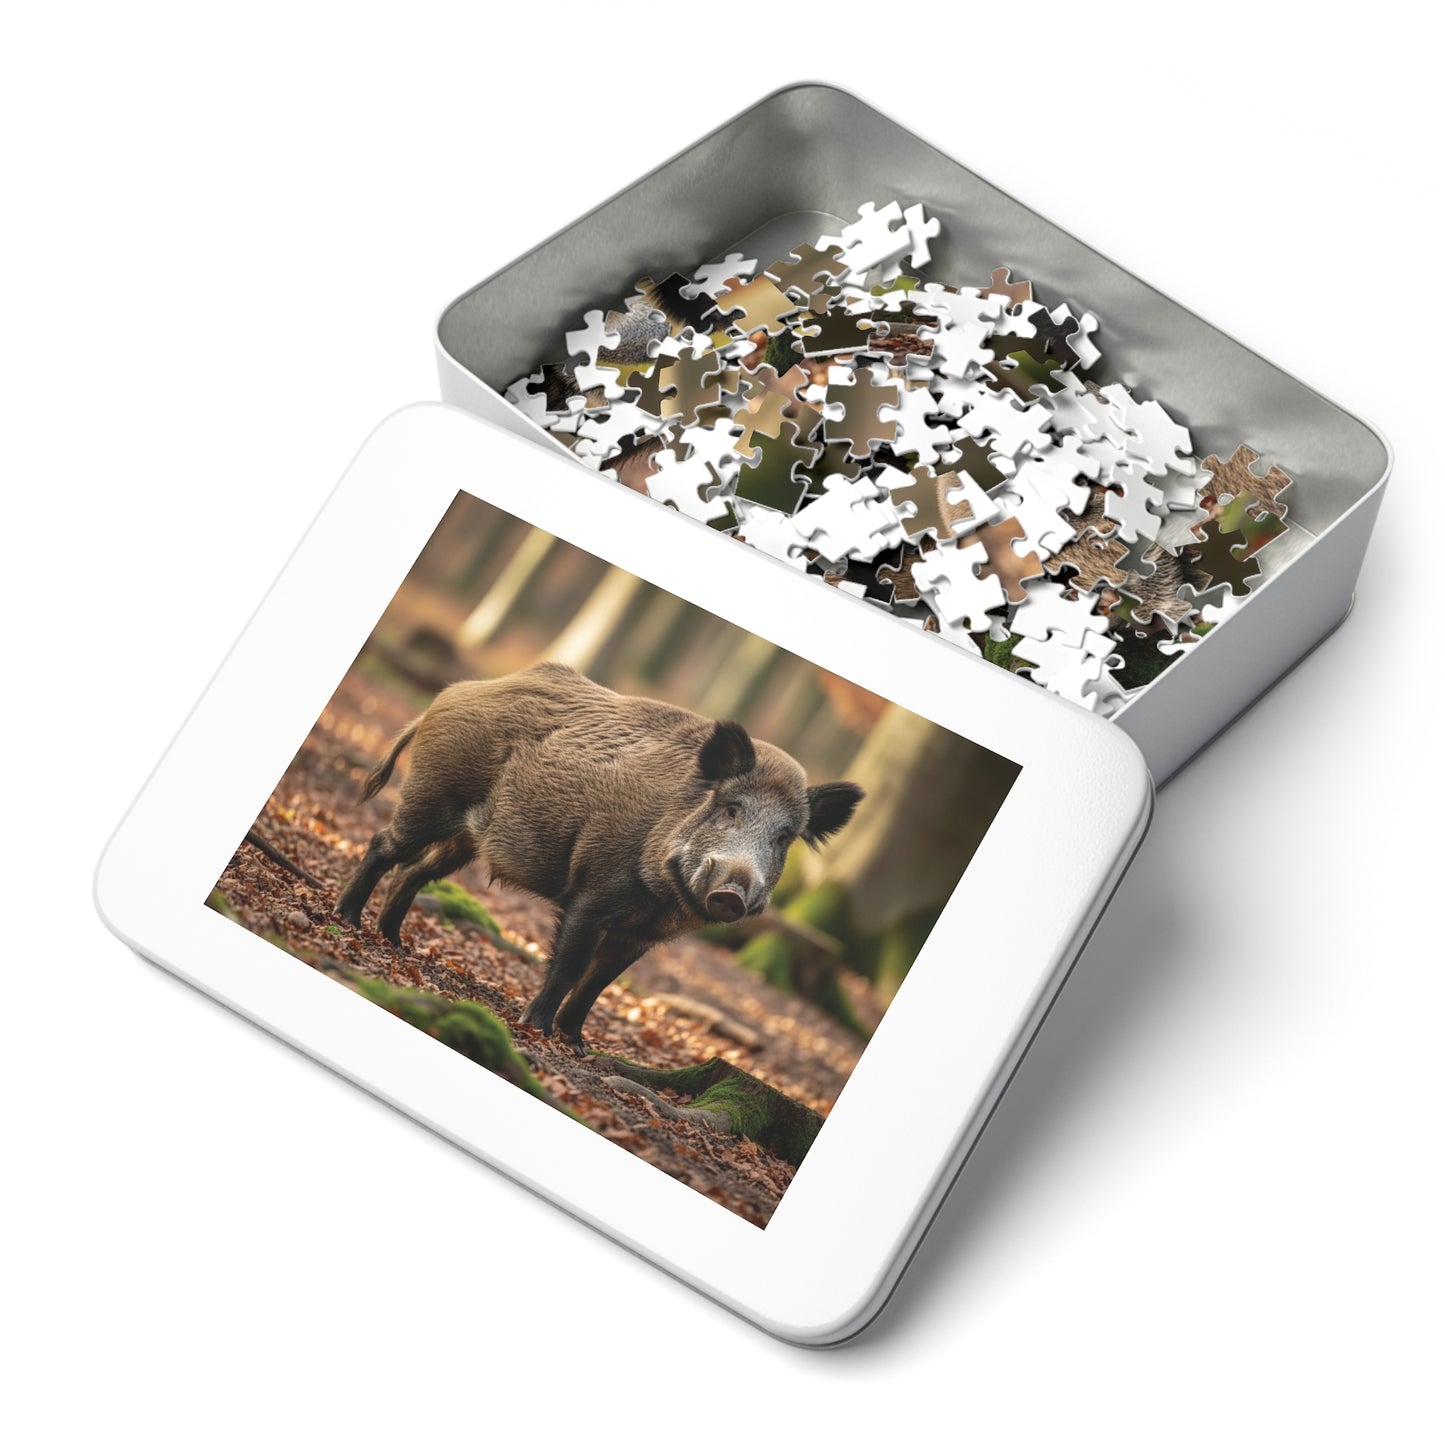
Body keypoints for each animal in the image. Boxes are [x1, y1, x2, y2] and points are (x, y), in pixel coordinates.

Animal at [337, 662, 863, 1050]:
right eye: (731, 808)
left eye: (783, 837)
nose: (731, 894)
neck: (661, 897)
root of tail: (455, 691)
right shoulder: (594, 892)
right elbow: (570, 966)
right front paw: (538, 1031)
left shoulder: (644, 934)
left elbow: (600, 982)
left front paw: (577, 1044)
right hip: (432, 793)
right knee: (384, 844)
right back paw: (347, 919)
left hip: (464, 837)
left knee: (416, 870)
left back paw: (394, 941)